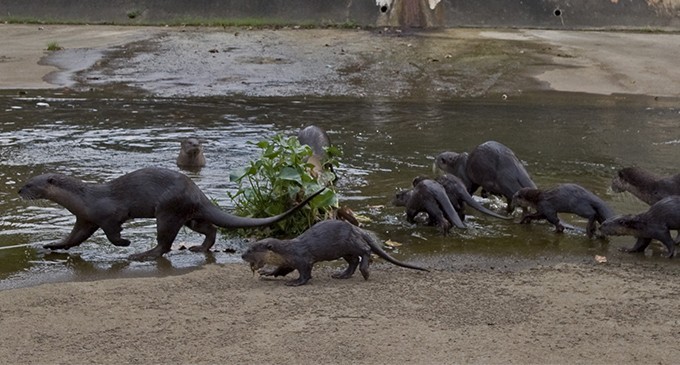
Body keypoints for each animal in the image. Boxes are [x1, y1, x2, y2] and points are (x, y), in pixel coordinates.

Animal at [16, 166, 324, 260]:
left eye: (30, 184)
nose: (19, 190)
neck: (84, 199)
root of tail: (197, 192)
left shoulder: (108, 214)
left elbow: (113, 232)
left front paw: (125, 242)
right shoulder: (85, 220)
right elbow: (74, 238)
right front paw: (53, 245)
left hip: (168, 211)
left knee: (164, 244)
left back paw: (140, 254)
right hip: (190, 215)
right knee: (209, 228)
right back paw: (200, 248)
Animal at [242, 218, 428, 286]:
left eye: (251, 249)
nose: (242, 255)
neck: (288, 251)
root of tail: (356, 228)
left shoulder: (302, 258)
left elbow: (305, 273)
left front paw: (295, 282)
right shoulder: (288, 262)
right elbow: (281, 270)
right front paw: (267, 272)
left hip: (349, 242)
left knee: (365, 250)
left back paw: (365, 271)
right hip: (344, 250)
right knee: (353, 260)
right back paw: (342, 275)